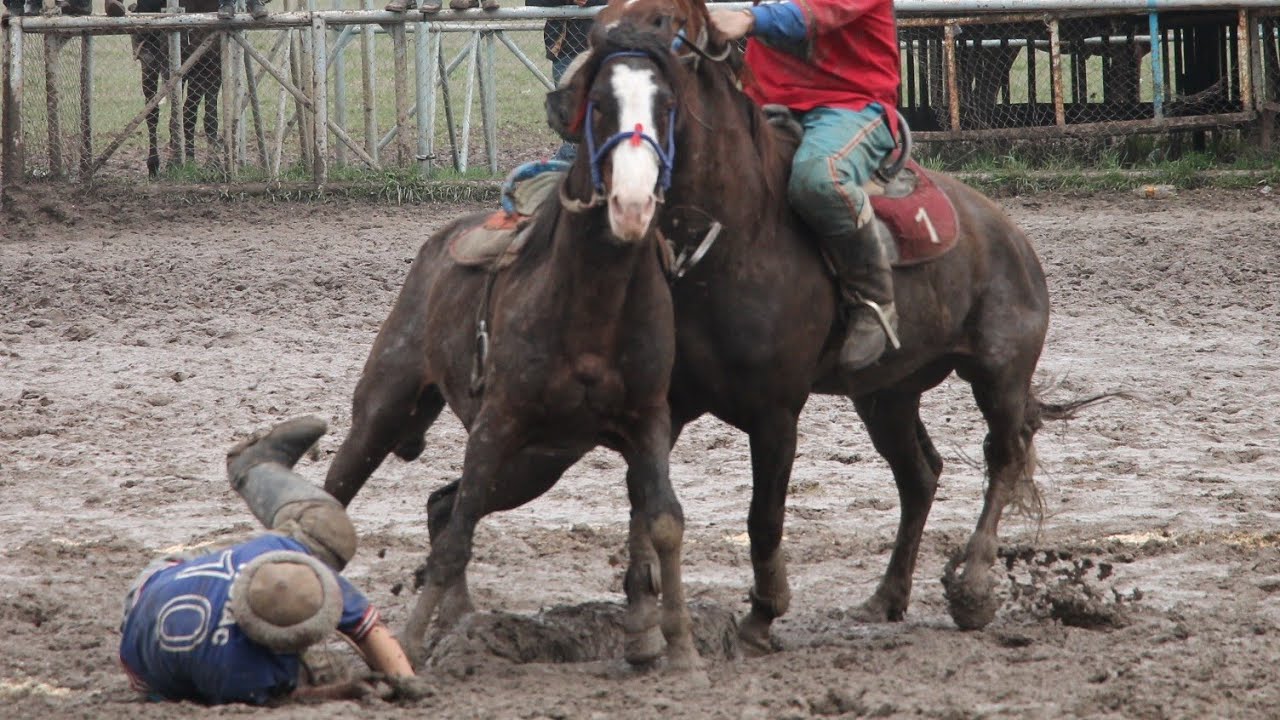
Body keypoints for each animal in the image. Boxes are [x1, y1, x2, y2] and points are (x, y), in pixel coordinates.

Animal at [130, 0, 223, 176]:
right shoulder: (176, 70)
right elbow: (178, 115)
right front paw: (175, 162)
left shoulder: (212, 70)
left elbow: (207, 118)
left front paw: (212, 165)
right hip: (150, 68)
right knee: (152, 113)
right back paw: (154, 164)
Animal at [323, 26, 704, 670]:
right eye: (599, 106)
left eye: (666, 106)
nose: (632, 204)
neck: (593, 302)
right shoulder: (497, 422)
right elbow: (457, 542)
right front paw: (408, 647)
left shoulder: (649, 419)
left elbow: (665, 522)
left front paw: (680, 650)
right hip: (384, 409)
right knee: (344, 495)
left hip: (537, 461)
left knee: (442, 505)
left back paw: (462, 621)